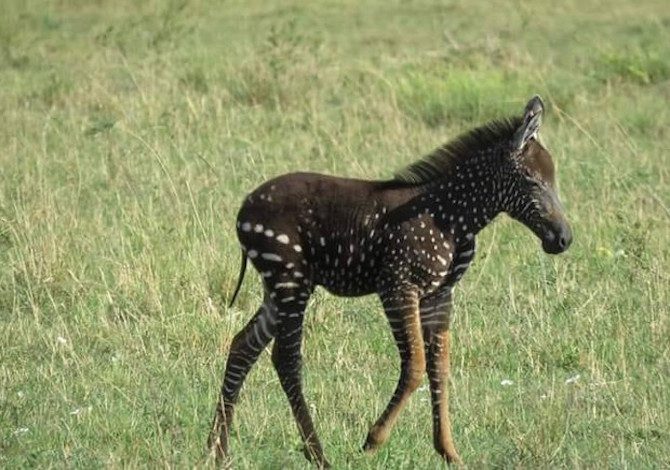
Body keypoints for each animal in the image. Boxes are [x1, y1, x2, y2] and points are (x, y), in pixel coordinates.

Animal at [209, 95, 572, 466]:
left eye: (553, 179)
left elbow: (439, 368)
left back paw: (217, 449)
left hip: (281, 287)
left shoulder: (440, 294)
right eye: (531, 180)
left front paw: (449, 451)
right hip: (289, 279)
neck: (453, 218)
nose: (563, 239)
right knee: (285, 359)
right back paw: (317, 454)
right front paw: (373, 440)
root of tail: (243, 209)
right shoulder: (397, 287)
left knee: (242, 346)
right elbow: (415, 366)